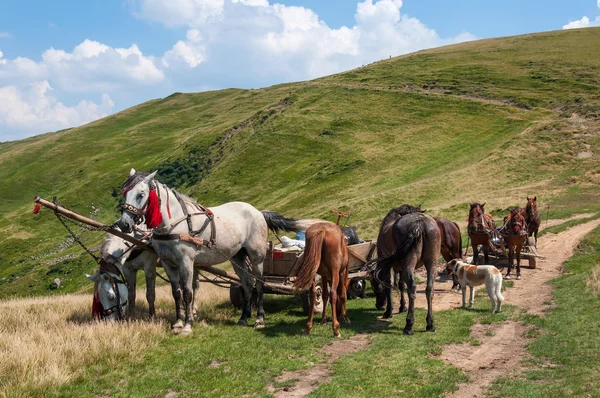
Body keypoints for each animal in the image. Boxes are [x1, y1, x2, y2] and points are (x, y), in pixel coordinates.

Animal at [115, 169, 316, 334]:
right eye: (125, 193)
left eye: (141, 194)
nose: (124, 224)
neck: (175, 223)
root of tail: (258, 212)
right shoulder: (167, 263)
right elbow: (176, 293)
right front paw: (177, 323)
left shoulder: (186, 261)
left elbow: (187, 292)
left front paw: (187, 325)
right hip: (238, 258)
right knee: (247, 283)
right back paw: (244, 317)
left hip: (257, 257)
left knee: (259, 284)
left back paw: (259, 318)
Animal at [372, 204, 438, 334]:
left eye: (375, 287)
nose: (378, 305)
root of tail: (419, 222)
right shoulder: (400, 268)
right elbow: (401, 285)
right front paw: (402, 306)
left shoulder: (388, 266)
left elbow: (389, 285)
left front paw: (389, 311)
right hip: (431, 263)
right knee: (429, 289)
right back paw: (430, 323)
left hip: (409, 263)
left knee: (412, 288)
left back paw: (409, 325)